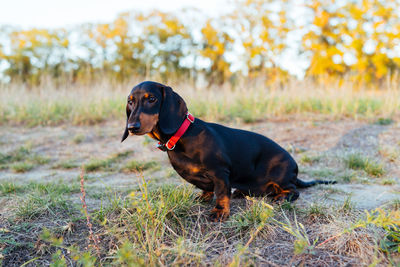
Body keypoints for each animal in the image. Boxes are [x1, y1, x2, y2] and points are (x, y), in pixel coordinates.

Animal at [120, 81, 336, 222]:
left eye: (152, 99)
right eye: (130, 102)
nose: (132, 127)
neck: (181, 136)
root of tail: (295, 170)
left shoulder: (220, 172)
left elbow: (222, 193)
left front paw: (220, 212)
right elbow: (208, 190)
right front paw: (204, 197)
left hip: (281, 176)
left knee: (293, 191)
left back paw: (281, 197)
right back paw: (241, 191)